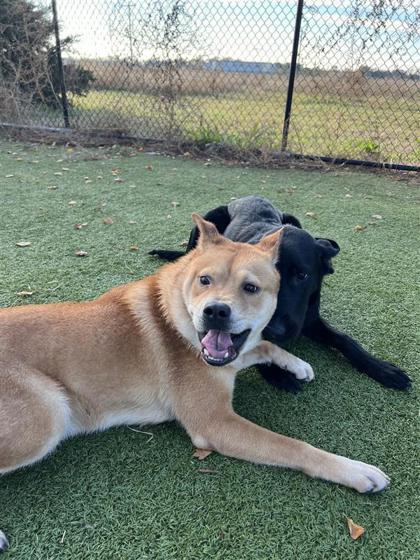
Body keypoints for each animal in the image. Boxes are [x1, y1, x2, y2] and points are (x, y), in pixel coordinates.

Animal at [0, 214, 388, 504]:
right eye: (205, 280)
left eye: (251, 288)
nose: (215, 311)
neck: (175, 318)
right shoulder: (215, 423)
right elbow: (293, 446)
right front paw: (356, 471)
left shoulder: (232, 358)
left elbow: (261, 346)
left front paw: (296, 363)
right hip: (46, 414)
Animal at [151, 196, 410, 390]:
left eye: (302, 275)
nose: (275, 331)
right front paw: (277, 372)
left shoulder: (310, 318)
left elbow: (345, 339)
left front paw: (382, 368)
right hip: (209, 218)